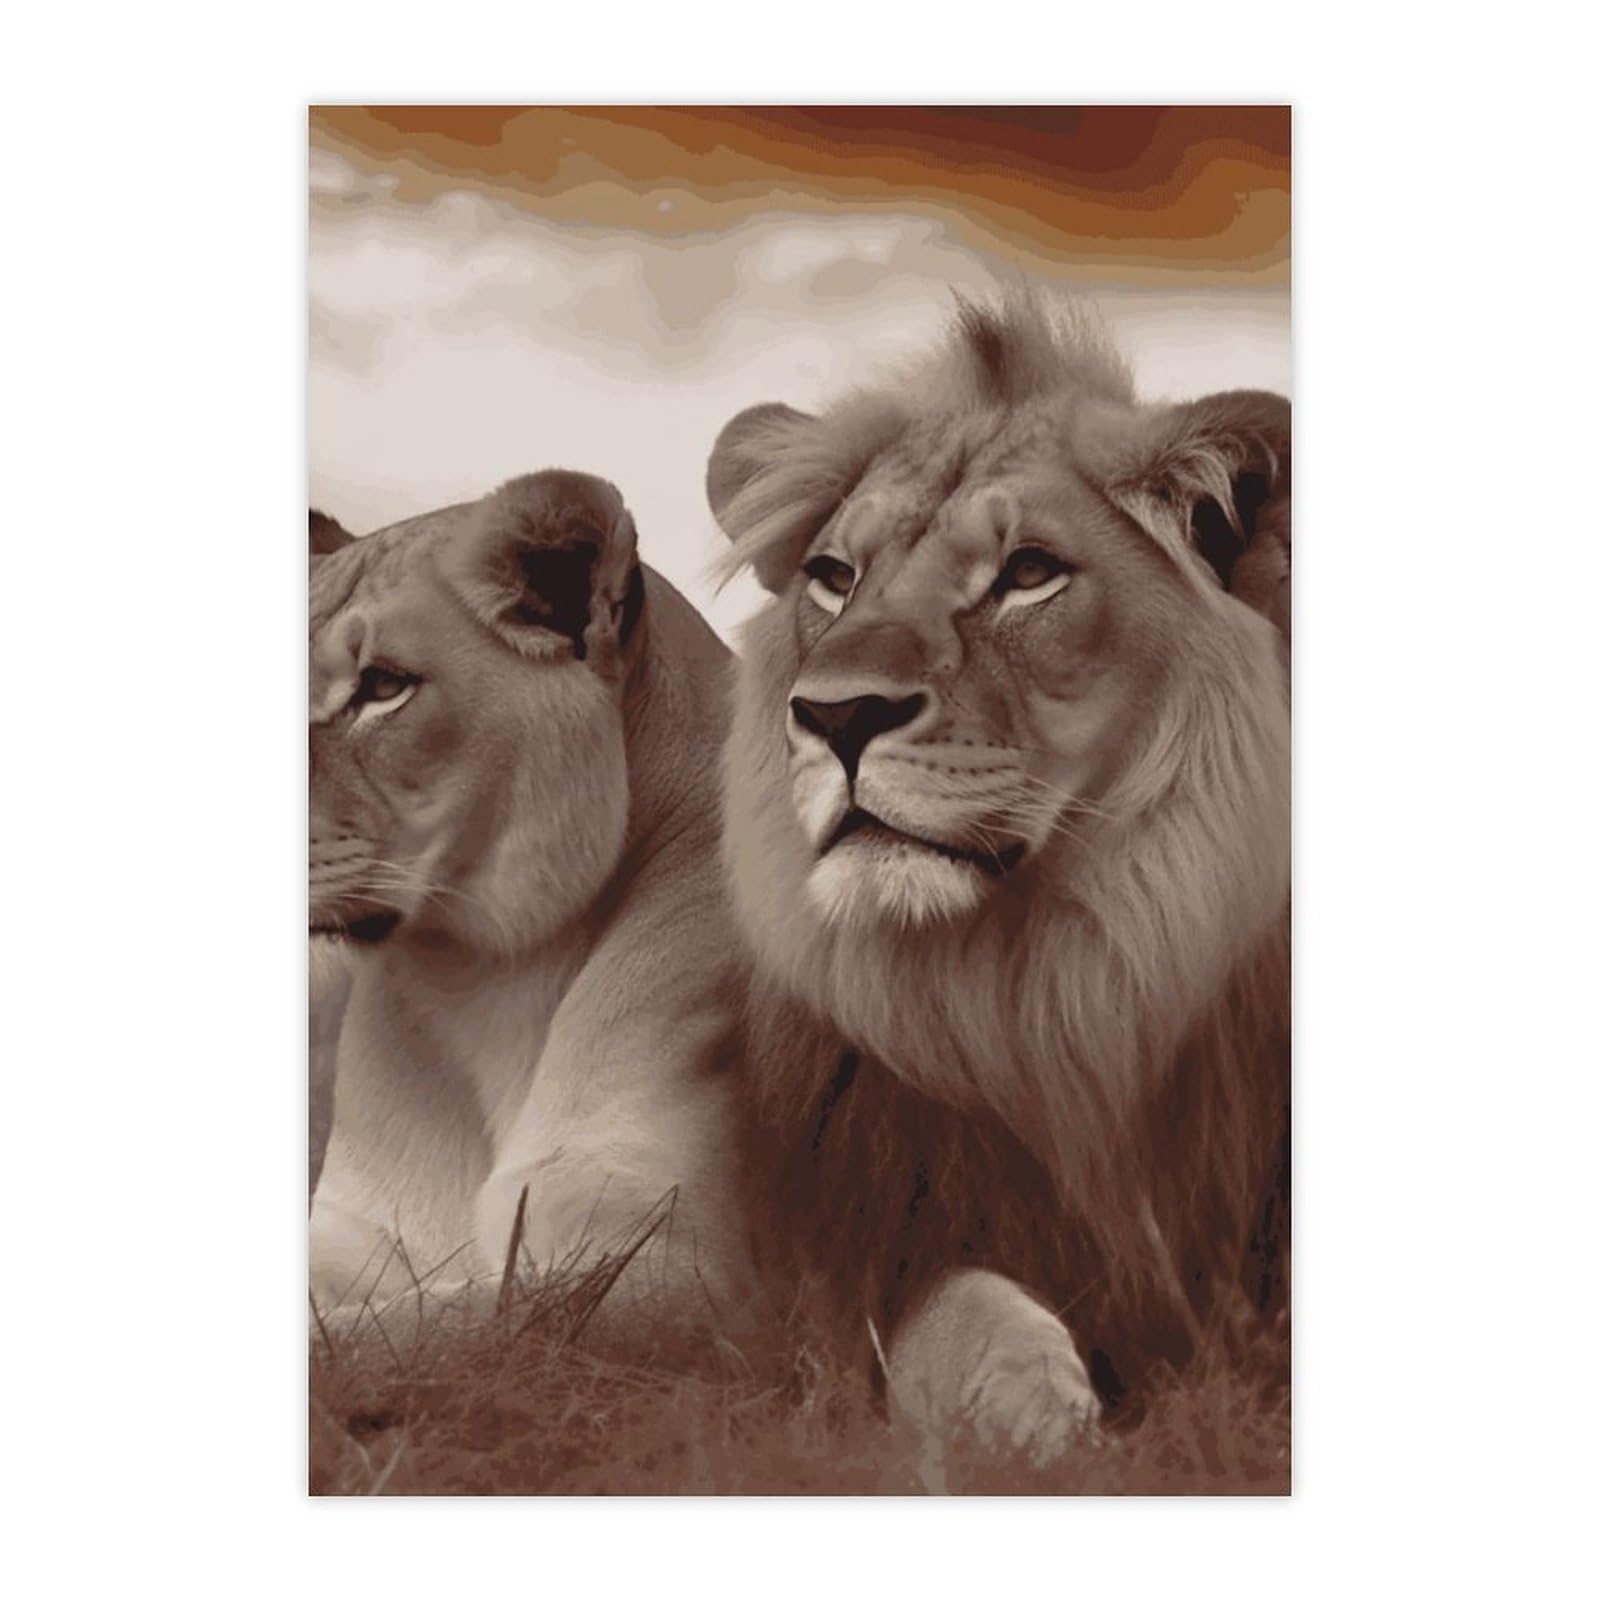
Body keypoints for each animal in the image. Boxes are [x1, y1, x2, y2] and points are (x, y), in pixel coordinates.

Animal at [706, 293, 1290, 1461]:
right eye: (834, 578)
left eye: (1028, 574)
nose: (835, 715)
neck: (1056, 985)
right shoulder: (856, 1261)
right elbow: (958, 1319)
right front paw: (1042, 1427)